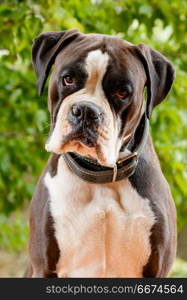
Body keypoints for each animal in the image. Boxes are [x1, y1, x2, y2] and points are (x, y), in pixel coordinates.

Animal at [26, 29, 177, 278]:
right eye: (68, 79)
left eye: (122, 92)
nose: (86, 110)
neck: (101, 177)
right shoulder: (43, 267)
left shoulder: (157, 269)